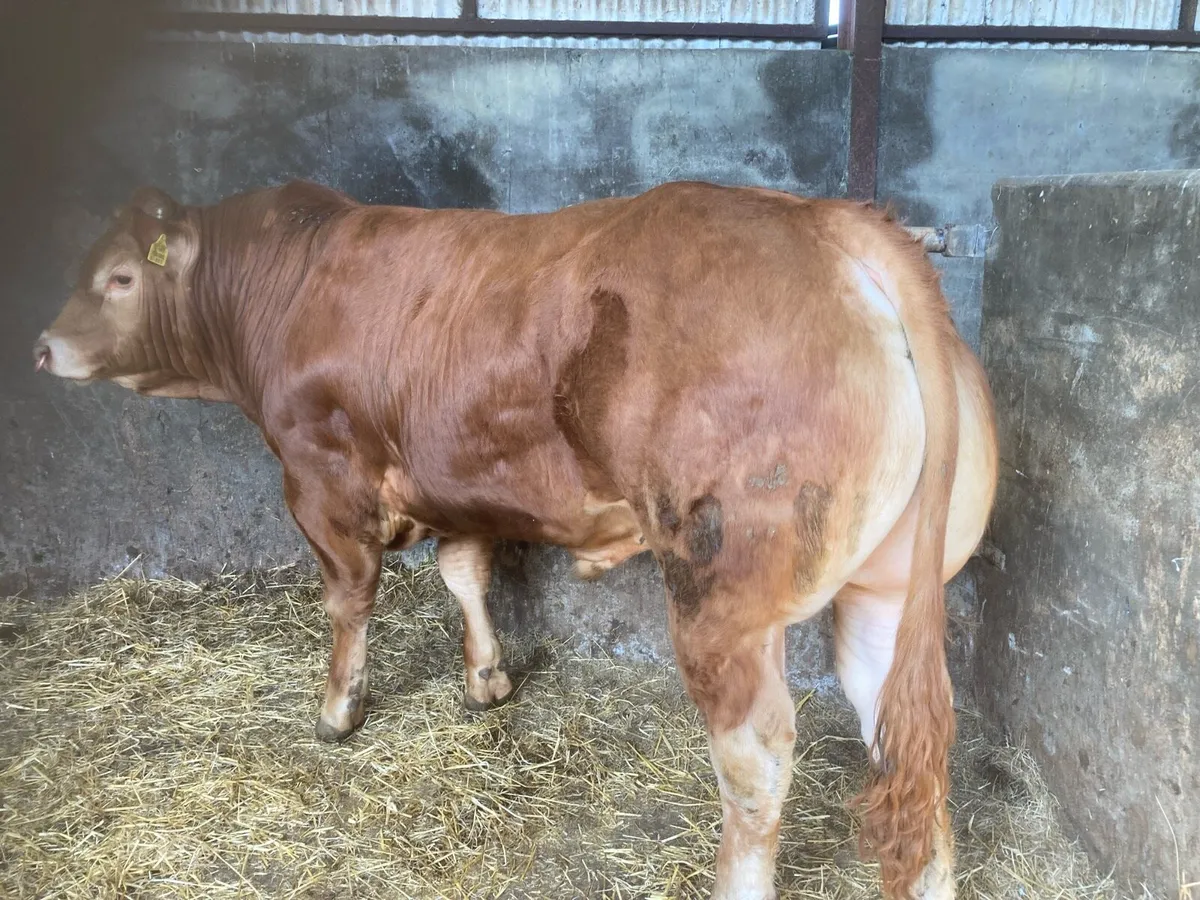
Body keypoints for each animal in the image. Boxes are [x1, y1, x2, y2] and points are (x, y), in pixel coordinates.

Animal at [34, 179, 998, 900]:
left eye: (119, 279)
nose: (41, 348)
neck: (286, 284)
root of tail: (824, 219)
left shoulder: (319, 478)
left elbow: (350, 596)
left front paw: (339, 709)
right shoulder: (455, 482)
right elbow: (464, 572)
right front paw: (487, 681)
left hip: (720, 591)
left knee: (757, 755)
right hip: (887, 588)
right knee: (903, 731)